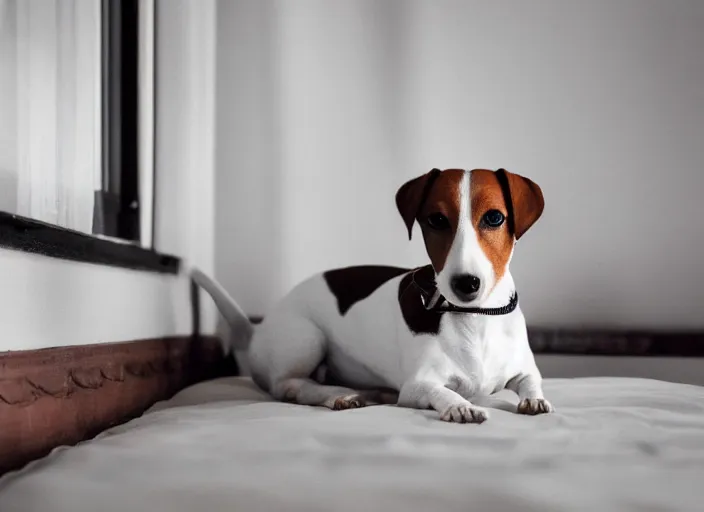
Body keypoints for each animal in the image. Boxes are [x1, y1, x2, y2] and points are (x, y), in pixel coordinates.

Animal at [191, 168, 552, 424]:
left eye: (494, 217)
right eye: (436, 220)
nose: (466, 283)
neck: (476, 317)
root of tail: (257, 330)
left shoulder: (525, 369)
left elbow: (531, 382)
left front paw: (534, 399)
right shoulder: (417, 385)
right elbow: (441, 392)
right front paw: (460, 406)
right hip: (305, 337)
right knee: (290, 386)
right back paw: (339, 395)